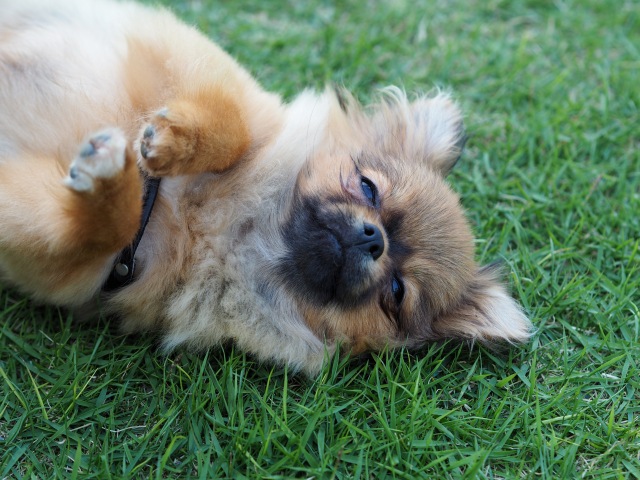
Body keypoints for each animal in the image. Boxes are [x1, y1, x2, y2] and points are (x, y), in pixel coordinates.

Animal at [0, 0, 528, 374]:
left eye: (396, 292)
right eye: (368, 188)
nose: (372, 238)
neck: (223, 225)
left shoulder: (79, 267)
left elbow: (103, 226)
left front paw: (108, 179)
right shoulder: (186, 58)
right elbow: (231, 127)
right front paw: (167, 142)